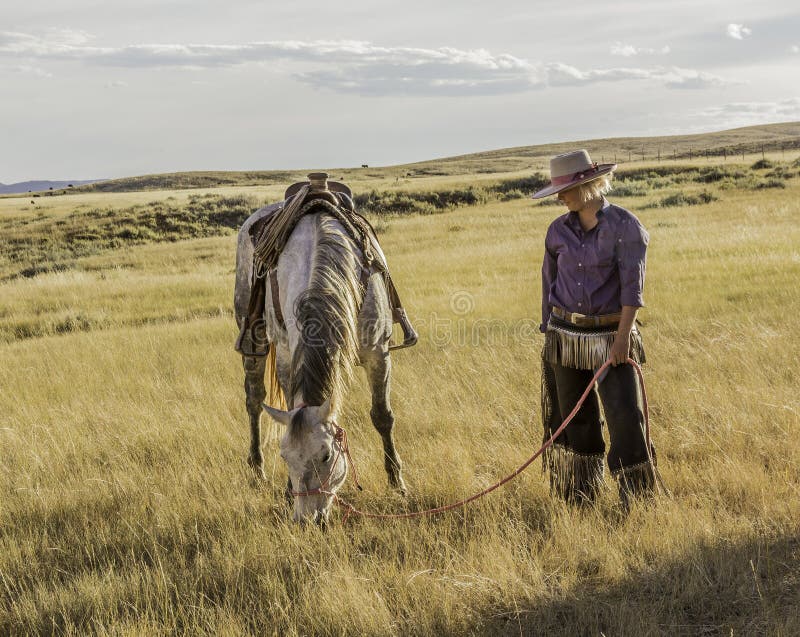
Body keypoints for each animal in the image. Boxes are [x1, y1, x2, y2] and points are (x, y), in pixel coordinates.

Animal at [231, 200, 406, 520]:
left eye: (326, 455)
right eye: (284, 455)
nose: (307, 521)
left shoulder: (378, 353)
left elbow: (382, 416)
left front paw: (396, 482)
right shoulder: (287, 356)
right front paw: (287, 491)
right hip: (253, 344)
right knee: (254, 400)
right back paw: (257, 469)